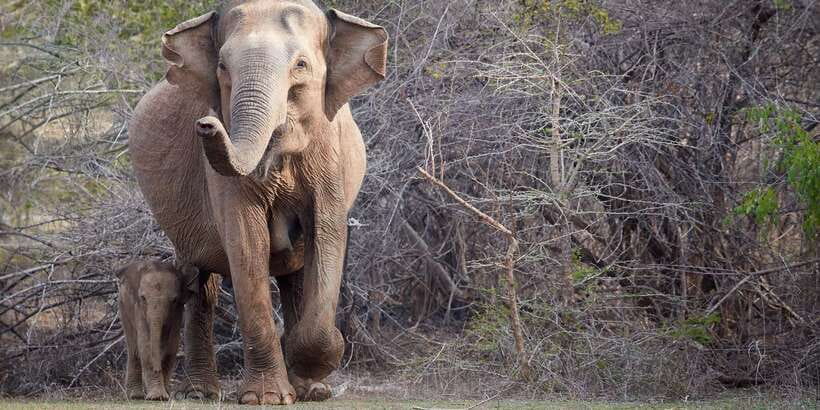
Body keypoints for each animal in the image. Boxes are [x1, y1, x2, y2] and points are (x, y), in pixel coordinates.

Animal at [117, 260, 198, 400]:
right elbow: (146, 346)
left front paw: (164, 396)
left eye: (174, 300)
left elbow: (171, 346)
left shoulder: (177, 312)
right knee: (133, 347)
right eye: (143, 298)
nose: (157, 369)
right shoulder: (139, 309)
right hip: (123, 305)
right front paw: (157, 397)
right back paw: (135, 396)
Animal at [128, 0, 388, 405]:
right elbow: (247, 242)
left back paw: (308, 387)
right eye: (222, 66)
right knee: (199, 281)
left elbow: (327, 234)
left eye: (301, 65)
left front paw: (311, 372)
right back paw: (202, 393)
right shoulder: (218, 176)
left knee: (296, 277)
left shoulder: (329, 153)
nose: (206, 124)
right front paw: (266, 398)